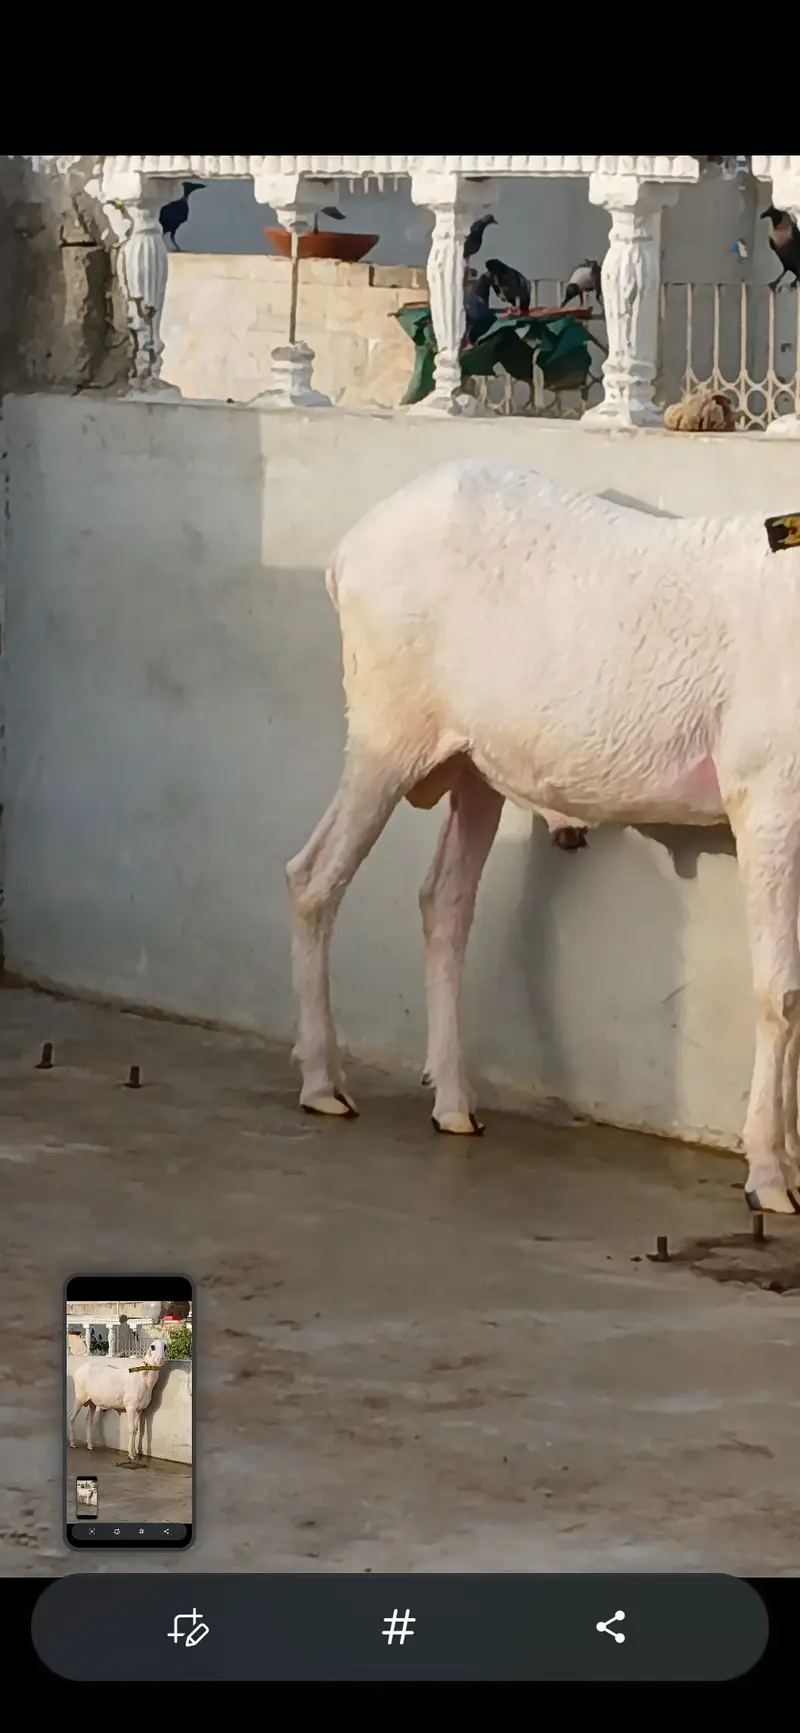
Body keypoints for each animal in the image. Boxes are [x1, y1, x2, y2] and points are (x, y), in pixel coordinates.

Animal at [67, 1338, 167, 1466]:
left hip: (93, 1401)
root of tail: (79, 1369)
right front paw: (131, 1454)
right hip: (80, 1397)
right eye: (152, 1347)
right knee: (71, 1416)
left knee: (88, 1420)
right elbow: (131, 1429)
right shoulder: (130, 1406)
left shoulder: (140, 1409)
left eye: (165, 1347)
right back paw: (72, 1443)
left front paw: (135, 1453)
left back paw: (90, 1445)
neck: (142, 1378)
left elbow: (136, 1430)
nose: (160, 1360)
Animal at [286, 458, 800, 1217]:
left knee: (445, 902)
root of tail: (349, 550)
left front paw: (788, 1161)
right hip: (386, 731)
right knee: (316, 877)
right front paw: (769, 1176)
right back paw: (324, 1083)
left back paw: (455, 1102)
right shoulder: (767, 794)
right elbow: (779, 991)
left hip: (475, 764)